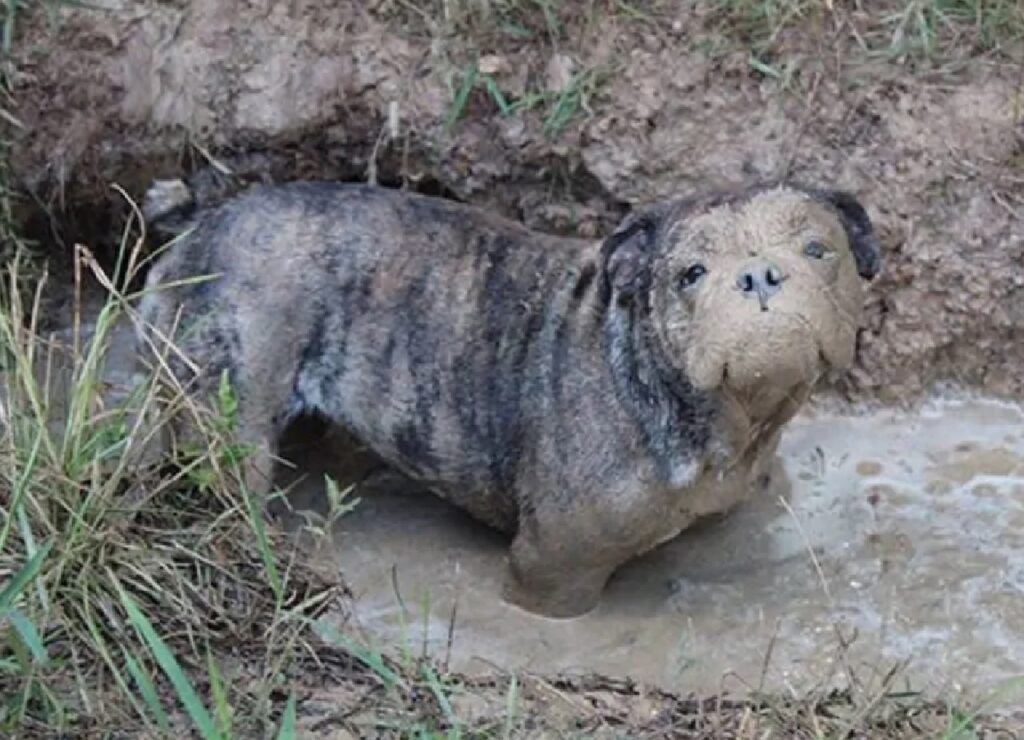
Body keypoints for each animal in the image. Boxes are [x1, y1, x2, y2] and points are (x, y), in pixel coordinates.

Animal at [136, 179, 880, 618]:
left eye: (820, 249)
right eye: (690, 274)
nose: (759, 274)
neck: (732, 419)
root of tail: (202, 220)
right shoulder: (552, 570)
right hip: (228, 407)